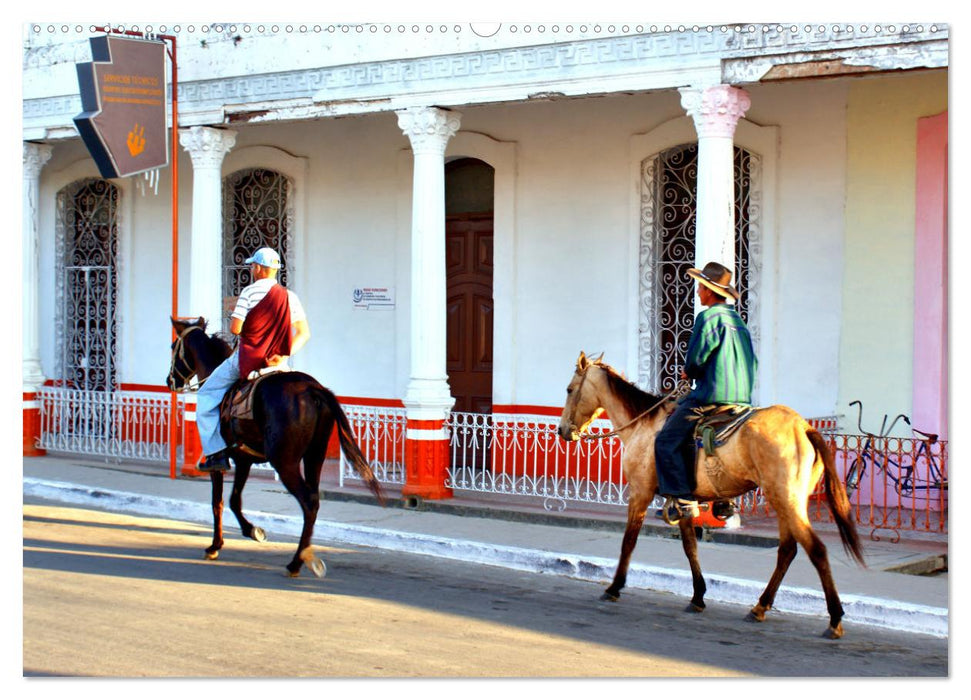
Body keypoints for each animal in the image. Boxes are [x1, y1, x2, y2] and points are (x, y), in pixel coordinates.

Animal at [167, 320, 384, 576]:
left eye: (173, 346)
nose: (169, 381)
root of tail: (312, 389)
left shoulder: (218, 463)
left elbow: (217, 503)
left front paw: (215, 546)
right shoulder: (243, 460)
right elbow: (234, 500)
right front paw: (252, 531)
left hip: (285, 462)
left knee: (307, 502)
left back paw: (296, 562)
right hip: (315, 456)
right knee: (314, 500)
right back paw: (304, 556)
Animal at [560, 352, 868, 636]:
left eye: (570, 389)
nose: (563, 431)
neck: (642, 425)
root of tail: (803, 427)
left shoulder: (640, 492)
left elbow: (629, 542)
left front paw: (614, 587)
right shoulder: (681, 500)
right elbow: (690, 547)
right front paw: (698, 596)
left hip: (786, 499)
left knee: (815, 549)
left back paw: (835, 618)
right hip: (786, 501)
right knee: (787, 550)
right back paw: (760, 607)